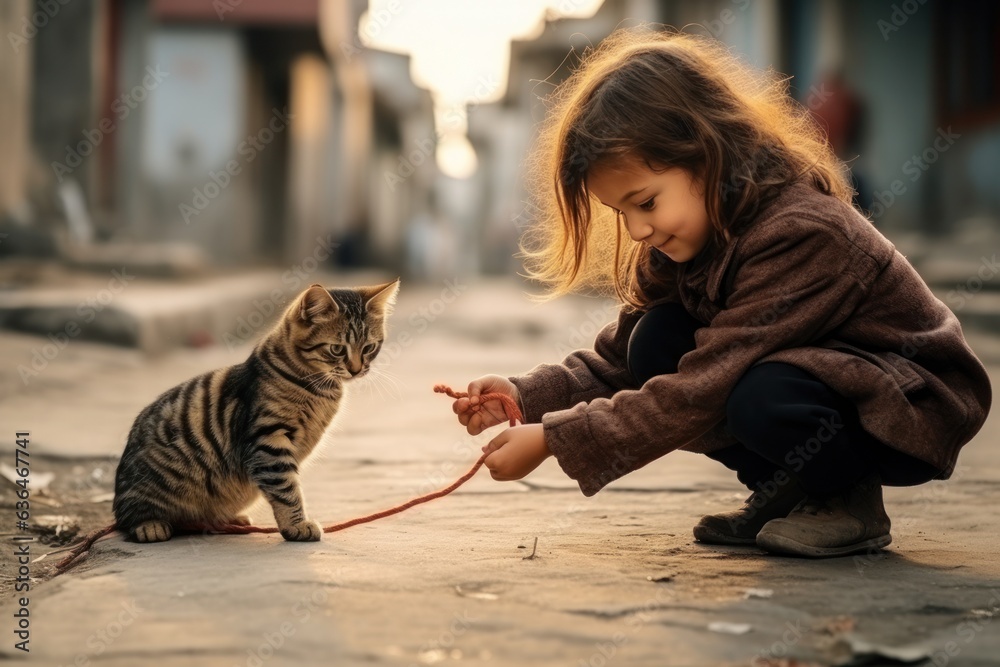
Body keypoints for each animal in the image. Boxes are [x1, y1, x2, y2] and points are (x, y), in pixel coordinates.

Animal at [112, 280, 398, 544]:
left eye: (369, 348)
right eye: (337, 349)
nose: (356, 370)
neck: (319, 388)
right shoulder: (269, 440)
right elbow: (286, 490)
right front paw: (297, 525)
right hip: (146, 487)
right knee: (129, 519)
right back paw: (151, 526)